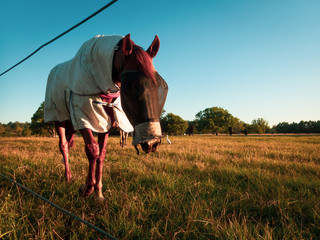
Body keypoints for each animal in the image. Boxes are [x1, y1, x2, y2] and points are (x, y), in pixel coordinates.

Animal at [45, 32, 170, 200]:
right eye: (130, 86)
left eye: (163, 86)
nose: (152, 143)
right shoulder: (84, 115)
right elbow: (92, 150)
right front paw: (87, 188)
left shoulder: (105, 122)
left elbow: (101, 154)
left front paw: (98, 192)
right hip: (58, 118)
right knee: (64, 145)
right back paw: (68, 177)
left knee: (69, 142)